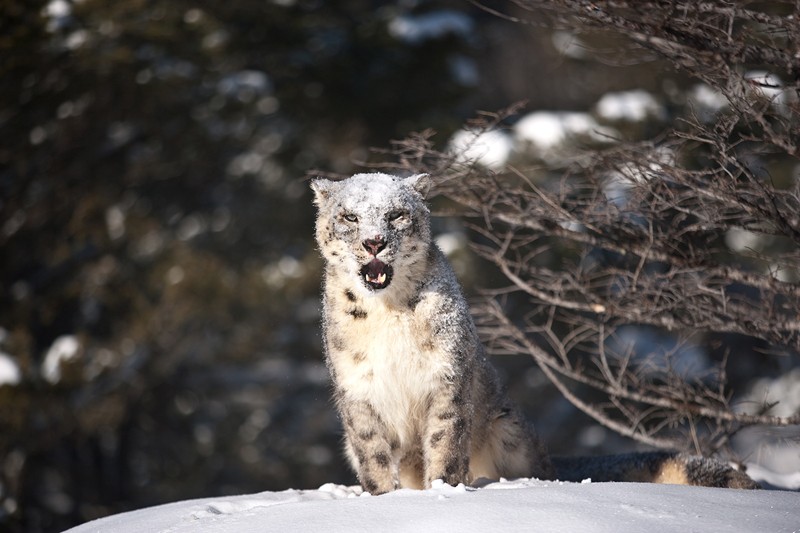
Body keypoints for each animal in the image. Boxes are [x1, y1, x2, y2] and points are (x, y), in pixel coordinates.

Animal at [310, 172, 760, 492]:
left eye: (396, 214)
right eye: (350, 216)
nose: (374, 242)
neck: (388, 312)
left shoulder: (445, 378)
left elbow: (444, 444)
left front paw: (442, 490)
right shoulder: (358, 390)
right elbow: (373, 454)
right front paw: (384, 498)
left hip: (509, 432)